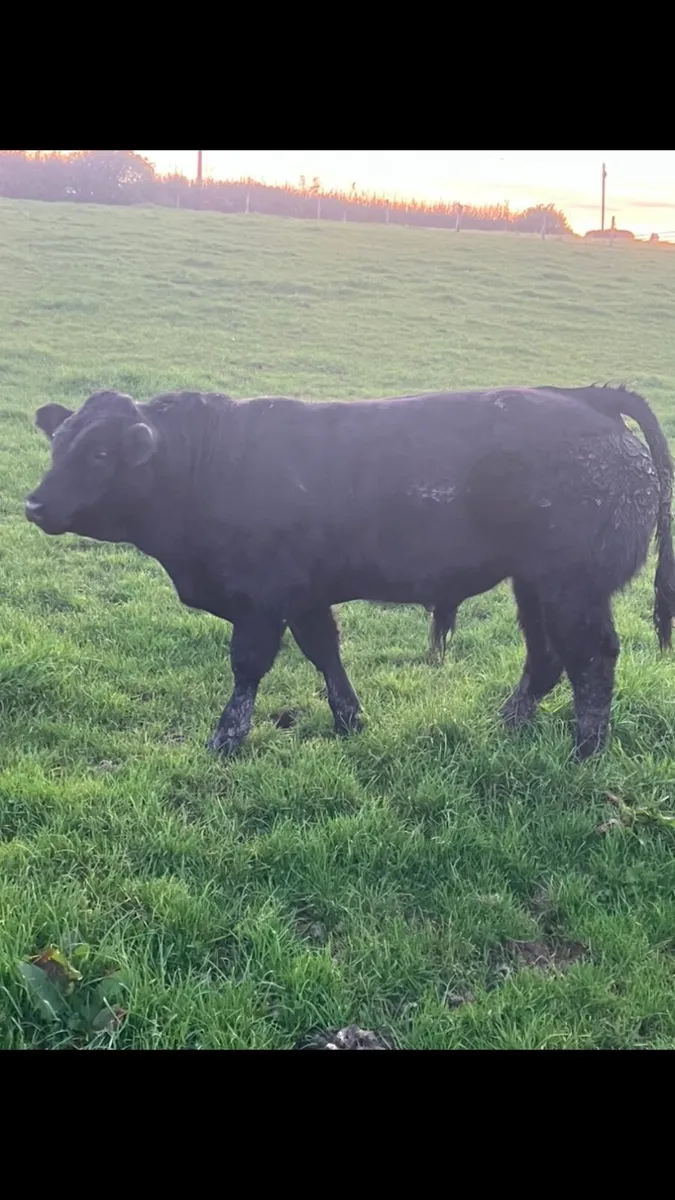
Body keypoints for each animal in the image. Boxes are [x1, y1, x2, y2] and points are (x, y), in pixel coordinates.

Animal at [25, 384, 675, 760]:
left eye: (100, 454)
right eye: (58, 444)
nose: (34, 504)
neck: (206, 463)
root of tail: (587, 399)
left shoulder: (261, 600)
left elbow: (248, 669)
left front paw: (226, 739)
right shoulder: (305, 596)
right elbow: (325, 653)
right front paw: (351, 721)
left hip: (572, 585)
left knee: (592, 658)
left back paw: (587, 752)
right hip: (533, 583)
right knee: (545, 658)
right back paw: (509, 724)